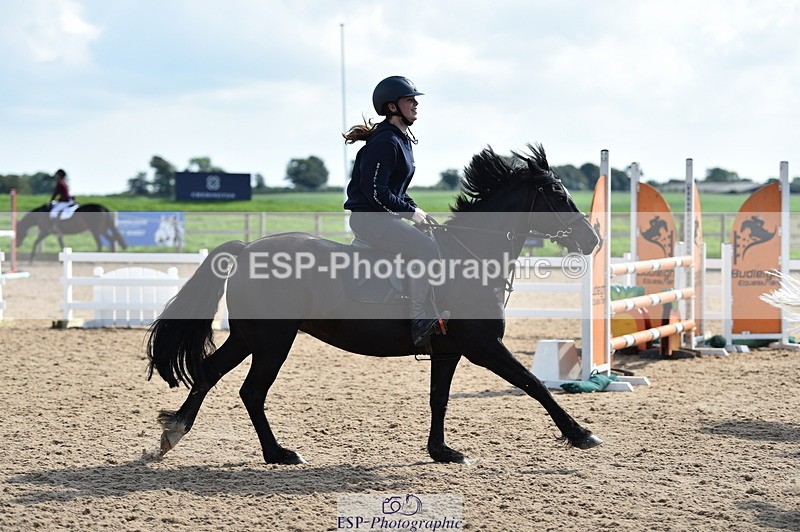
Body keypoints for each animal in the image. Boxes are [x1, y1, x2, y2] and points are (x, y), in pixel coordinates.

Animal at [146, 143, 603, 465]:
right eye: (557, 192)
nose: (593, 240)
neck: (471, 255)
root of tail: (245, 250)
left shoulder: (449, 350)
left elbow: (439, 398)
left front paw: (441, 451)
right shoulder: (484, 346)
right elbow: (534, 384)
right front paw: (582, 434)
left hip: (248, 337)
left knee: (209, 373)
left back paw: (175, 433)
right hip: (274, 340)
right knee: (252, 390)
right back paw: (279, 453)